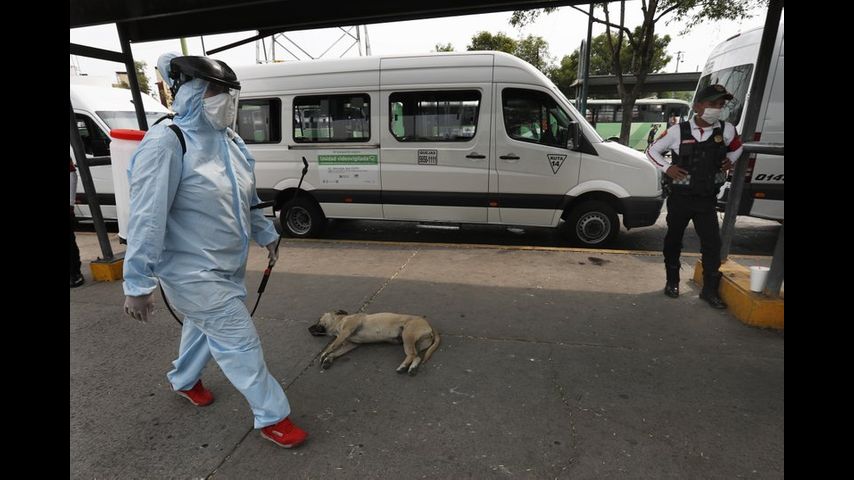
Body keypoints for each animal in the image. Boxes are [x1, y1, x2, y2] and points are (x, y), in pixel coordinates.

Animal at [310, 312, 442, 376]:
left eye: (318, 320)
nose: (308, 328)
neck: (340, 321)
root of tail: (429, 324)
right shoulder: (350, 344)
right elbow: (337, 352)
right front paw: (329, 359)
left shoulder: (345, 332)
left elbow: (332, 346)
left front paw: (324, 355)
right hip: (417, 343)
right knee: (418, 356)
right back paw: (412, 368)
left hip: (407, 336)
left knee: (412, 354)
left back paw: (403, 366)